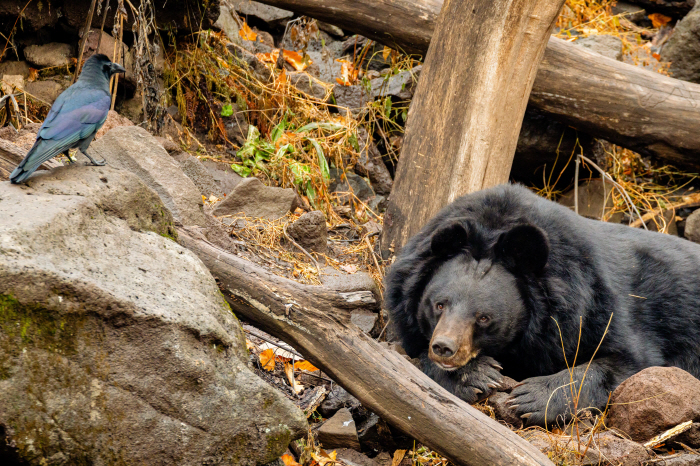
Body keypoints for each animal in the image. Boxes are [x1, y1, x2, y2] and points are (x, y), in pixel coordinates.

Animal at [384, 183, 700, 426]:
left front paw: (531, 398)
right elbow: (413, 353)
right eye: (438, 305)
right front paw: (477, 375)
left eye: (484, 318)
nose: (444, 348)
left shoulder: (600, 306)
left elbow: (631, 361)